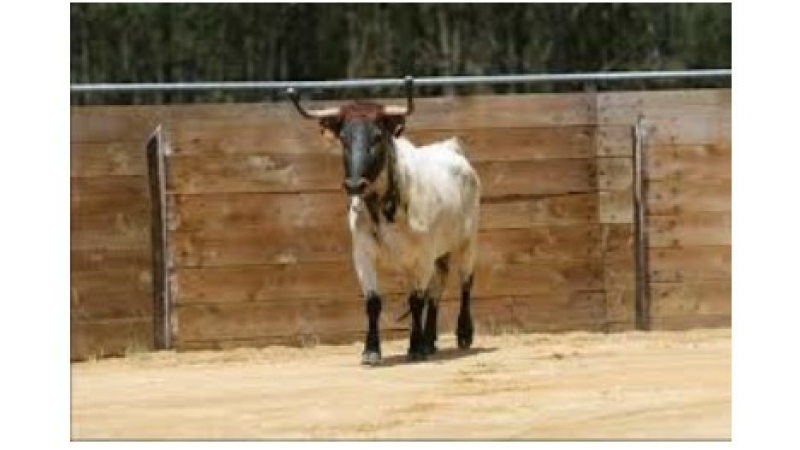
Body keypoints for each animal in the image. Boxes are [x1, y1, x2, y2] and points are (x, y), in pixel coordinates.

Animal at [286, 76, 480, 365]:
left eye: (377, 136)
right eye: (343, 138)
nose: (355, 184)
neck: (382, 208)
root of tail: (451, 148)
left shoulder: (421, 258)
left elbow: (416, 301)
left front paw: (415, 347)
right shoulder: (363, 255)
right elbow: (374, 302)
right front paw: (372, 350)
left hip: (467, 241)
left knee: (464, 281)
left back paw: (463, 334)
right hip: (441, 252)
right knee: (437, 290)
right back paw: (431, 340)